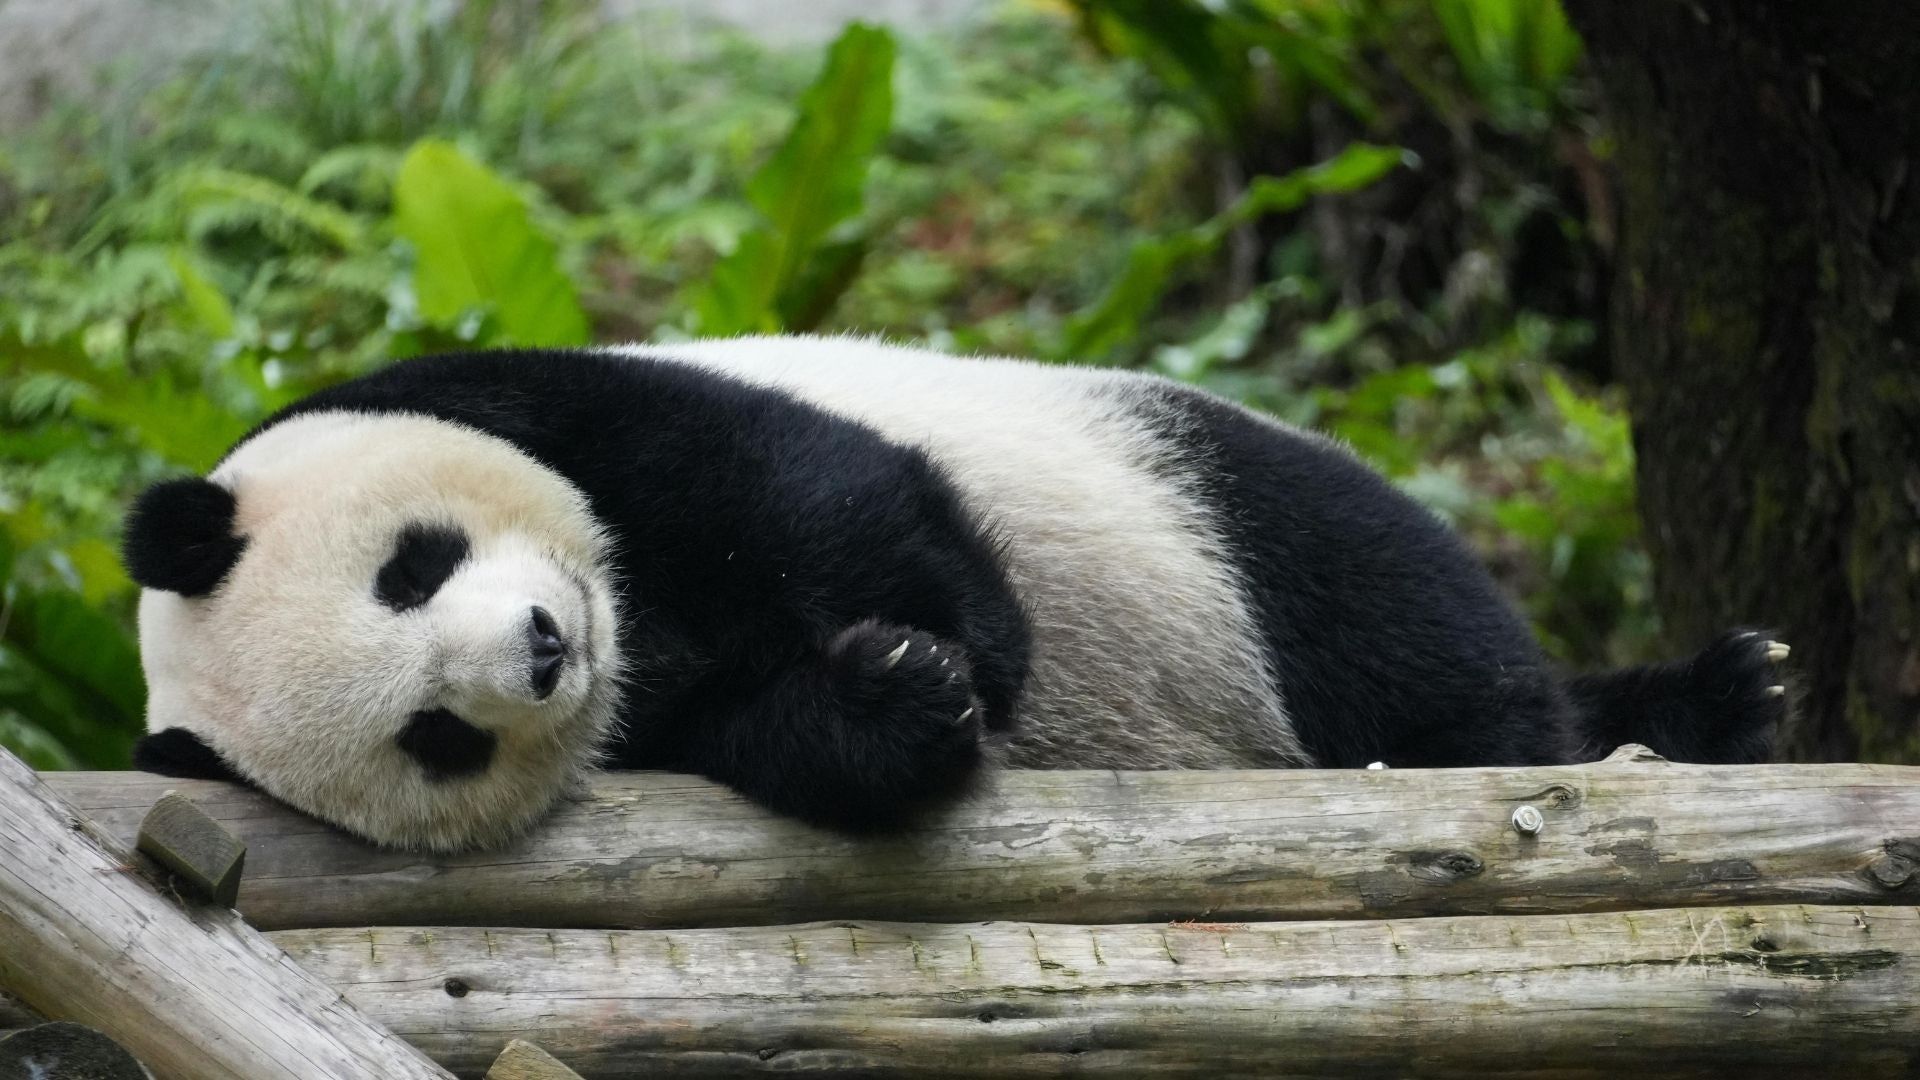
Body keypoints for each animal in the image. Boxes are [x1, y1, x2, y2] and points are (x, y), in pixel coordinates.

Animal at [121, 336, 1790, 851]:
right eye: (435, 738)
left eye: (412, 565)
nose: (542, 650)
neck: (638, 626)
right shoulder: (657, 726)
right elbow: (776, 735)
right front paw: (900, 697)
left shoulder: (550, 401)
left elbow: (815, 491)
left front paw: (959, 645)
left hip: (1187, 496)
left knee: (1394, 625)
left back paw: (1693, 704)